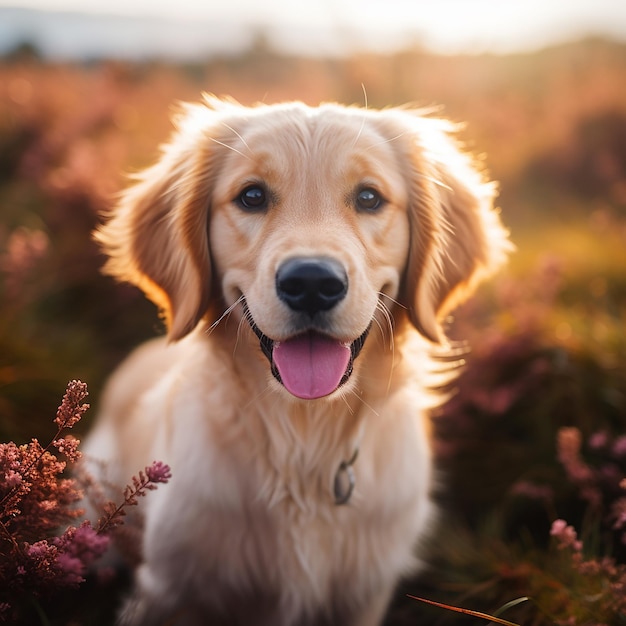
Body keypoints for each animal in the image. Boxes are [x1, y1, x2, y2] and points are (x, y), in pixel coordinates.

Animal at [83, 95, 510, 620]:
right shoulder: (167, 591)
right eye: (251, 196)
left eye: (369, 198)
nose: (311, 282)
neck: (303, 446)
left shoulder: (363, 597)